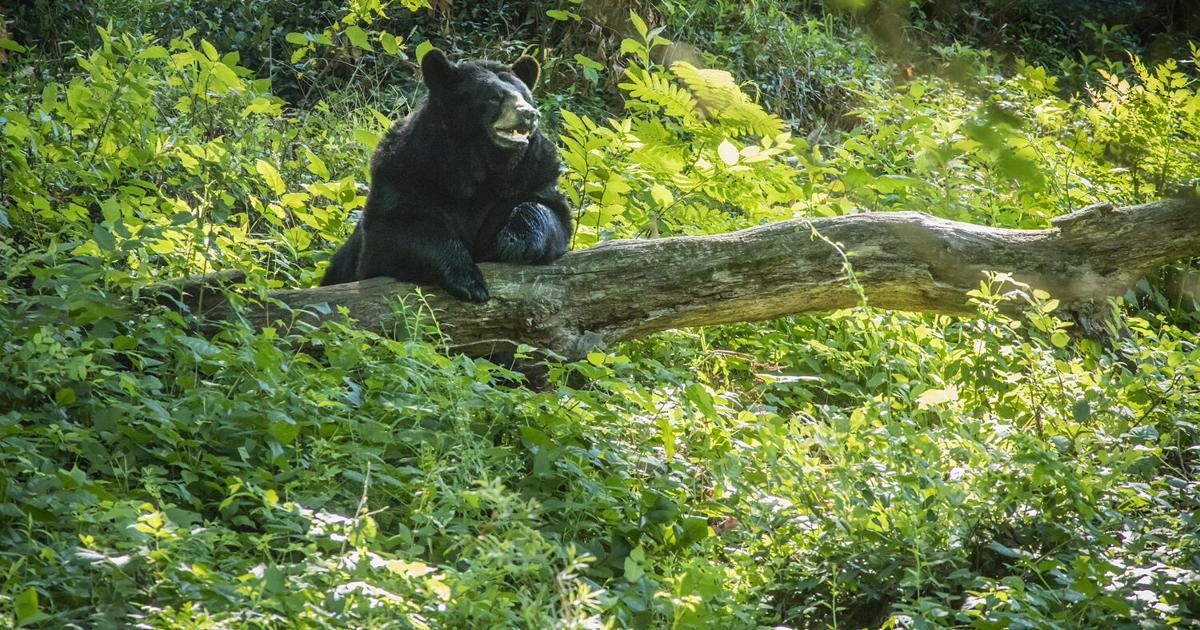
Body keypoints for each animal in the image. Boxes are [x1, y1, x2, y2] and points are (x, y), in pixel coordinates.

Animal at [320, 48, 573, 303]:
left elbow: (550, 210)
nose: (530, 114)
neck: (478, 165)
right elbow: (398, 230)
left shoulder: (531, 172)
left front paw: (516, 242)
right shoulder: (404, 173)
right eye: (494, 96)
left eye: (525, 96)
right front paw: (469, 280)